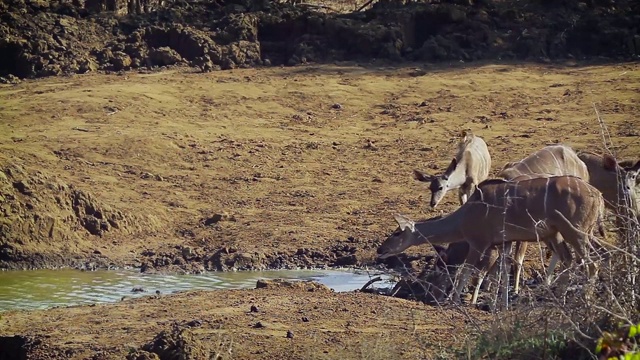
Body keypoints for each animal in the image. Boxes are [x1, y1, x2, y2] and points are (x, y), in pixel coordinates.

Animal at [378, 175, 608, 310]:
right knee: (572, 260)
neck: (464, 216)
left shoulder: (478, 243)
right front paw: (500, 305)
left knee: (593, 262)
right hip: (563, 234)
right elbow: (503, 274)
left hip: (575, 232)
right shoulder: (503, 243)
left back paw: (585, 301)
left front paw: (453, 301)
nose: (381, 250)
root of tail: (598, 194)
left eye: (397, 233)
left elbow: (467, 271)